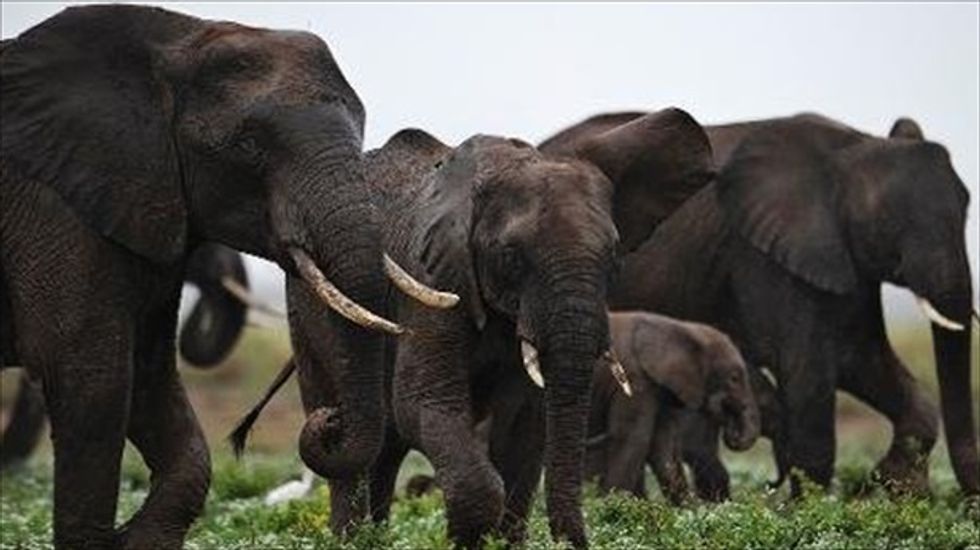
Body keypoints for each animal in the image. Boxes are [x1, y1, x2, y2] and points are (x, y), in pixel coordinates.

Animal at [232, 108, 716, 547]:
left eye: (615, 259)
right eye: (512, 256)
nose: (573, 541)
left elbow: (526, 425)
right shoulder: (431, 275)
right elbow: (423, 402)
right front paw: (465, 539)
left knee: (385, 446)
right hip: (307, 306)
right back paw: (351, 536)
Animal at [584, 311, 760, 505]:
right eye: (734, 378)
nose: (732, 434)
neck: (681, 328)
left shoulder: (661, 390)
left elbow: (664, 449)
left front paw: (692, 509)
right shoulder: (634, 382)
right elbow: (632, 439)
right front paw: (612, 504)